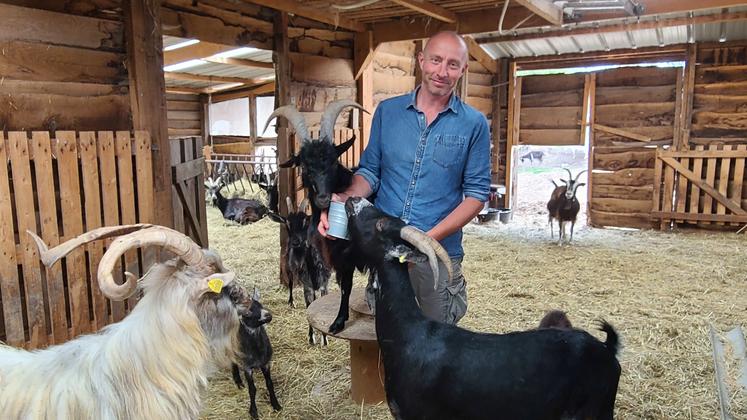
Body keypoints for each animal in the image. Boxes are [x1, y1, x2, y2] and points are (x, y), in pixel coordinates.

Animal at [231, 288, 280, 420]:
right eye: (247, 313)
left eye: (261, 305)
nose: (268, 315)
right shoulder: (247, 367)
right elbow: (252, 389)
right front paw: (253, 411)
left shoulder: (266, 363)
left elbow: (270, 383)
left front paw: (276, 404)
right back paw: (238, 381)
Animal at [266, 197, 330, 344]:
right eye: (287, 223)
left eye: (305, 222)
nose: (295, 242)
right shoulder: (307, 285)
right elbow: (308, 305)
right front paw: (311, 337)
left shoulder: (324, 284)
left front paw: (324, 338)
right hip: (288, 266)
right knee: (290, 283)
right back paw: (291, 301)